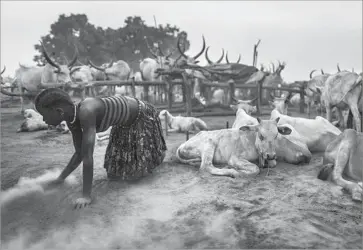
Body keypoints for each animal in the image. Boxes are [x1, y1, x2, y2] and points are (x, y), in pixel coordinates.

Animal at [176, 117, 304, 178]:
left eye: (276, 135)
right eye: (261, 136)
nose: (271, 155)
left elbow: (272, 164)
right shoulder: (234, 158)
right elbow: (255, 169)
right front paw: (240, 172)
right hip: (210, 143)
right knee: (206, 167)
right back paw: (232, 171)